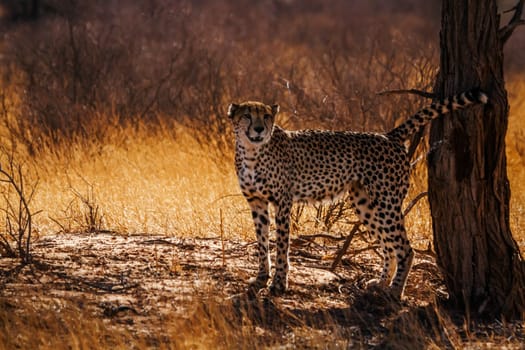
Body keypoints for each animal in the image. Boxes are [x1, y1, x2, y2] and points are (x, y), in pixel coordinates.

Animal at [228, 89, 488, 298]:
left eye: (266, 116)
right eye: (247, 115)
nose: (259, 129)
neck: (252, 152)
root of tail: (388, 135)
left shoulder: (282, 203)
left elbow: (282, 245)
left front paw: (279, 284)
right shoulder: (256, 203)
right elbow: (262, 242)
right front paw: (261, 277)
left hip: (386, 203)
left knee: (405, 248)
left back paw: (395, 291)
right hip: (366, 204)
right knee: (389, 247)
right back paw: (381, 283)